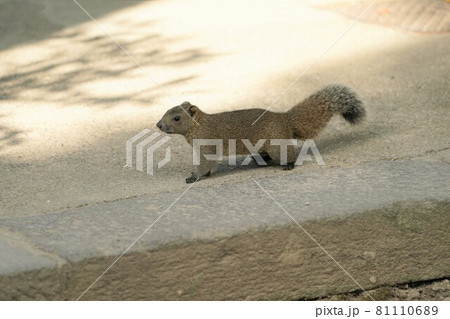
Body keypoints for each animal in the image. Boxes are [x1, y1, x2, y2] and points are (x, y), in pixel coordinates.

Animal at [156, 85, 364, 184]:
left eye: (176, 118)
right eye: (165, 110)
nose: (158, 125)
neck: (198, 126)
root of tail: (284, 119)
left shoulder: (208, 145)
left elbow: (205, 164)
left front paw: (194, 176)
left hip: (276, 144)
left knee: (289, 152)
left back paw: (288, 164)